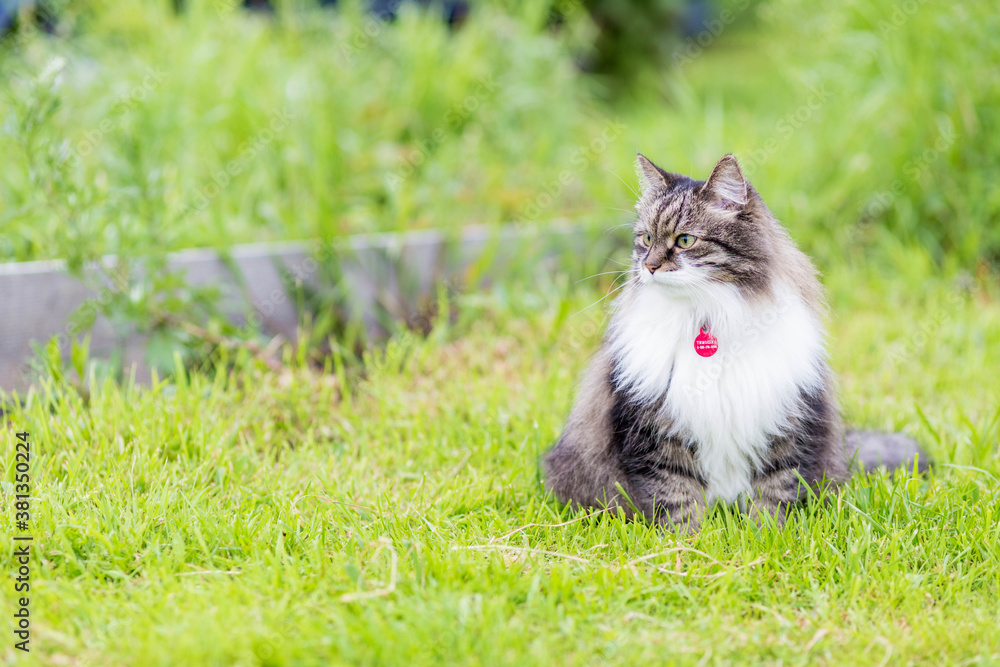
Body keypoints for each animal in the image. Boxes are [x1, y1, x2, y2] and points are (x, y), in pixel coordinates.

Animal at [544, 154, 924, 536]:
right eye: (646, 238)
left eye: (685, 240)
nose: (648, 266)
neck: (708, 314)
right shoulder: (655, 435)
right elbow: (679, 499)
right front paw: (688, 541)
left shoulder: (784, 427)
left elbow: (773, 494)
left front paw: (767, 537)